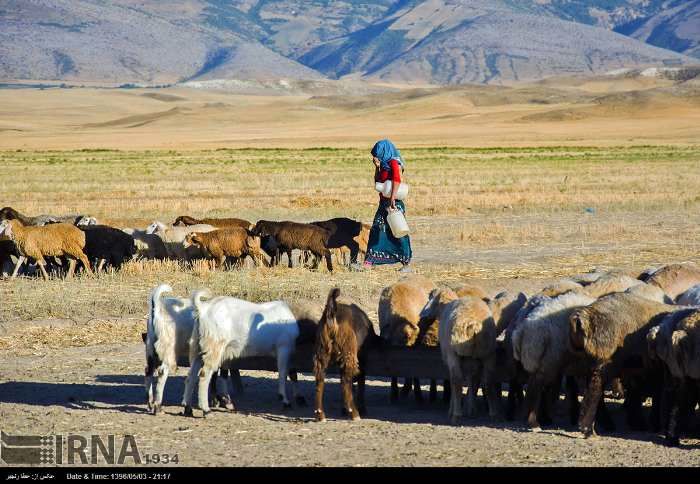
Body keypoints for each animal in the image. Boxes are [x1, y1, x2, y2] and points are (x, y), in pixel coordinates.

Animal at [182, 288, 300, 416]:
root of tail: (203, 309)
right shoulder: (284, 347)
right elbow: (283, 373)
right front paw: (285, 400)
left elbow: (292, 372)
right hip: (214, 346)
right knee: (204, 374)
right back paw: (206, 410)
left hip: (198, 347)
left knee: (191, 375)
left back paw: (188, 408)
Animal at [314, 290, 378, 422]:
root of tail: (331, 315)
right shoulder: (362, 358)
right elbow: (361, 381)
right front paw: (361, 408)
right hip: (348, 354)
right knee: (346, 382)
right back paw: (354, 413)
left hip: (322, 353)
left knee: (320, 380)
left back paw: (320, 414)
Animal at [422, 288, 504, 424]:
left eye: (430, 298)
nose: (422, 314)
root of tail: (473, 325)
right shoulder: (472, 360)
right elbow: (472, 382)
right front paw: (471, 409)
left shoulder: (450, 358)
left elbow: (455, 381)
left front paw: (454, 409)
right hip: (488, 353)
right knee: (487, 381)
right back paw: (494, 414)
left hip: (454, 354)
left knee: (457, 381)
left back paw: (456, 414)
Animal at [508, 290, 596, 430]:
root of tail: (521, 331)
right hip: (547, 362)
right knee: (534, 389)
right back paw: (534, 423)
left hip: (533, 362)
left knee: (523, 383)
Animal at [568, 294, 680, 436]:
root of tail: (583, 317)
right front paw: (652, 424)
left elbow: (641, 394)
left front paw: (638, 423)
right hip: (608, 360)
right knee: (595, 389)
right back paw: (587, 427)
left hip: (588, 360)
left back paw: (604, 423)